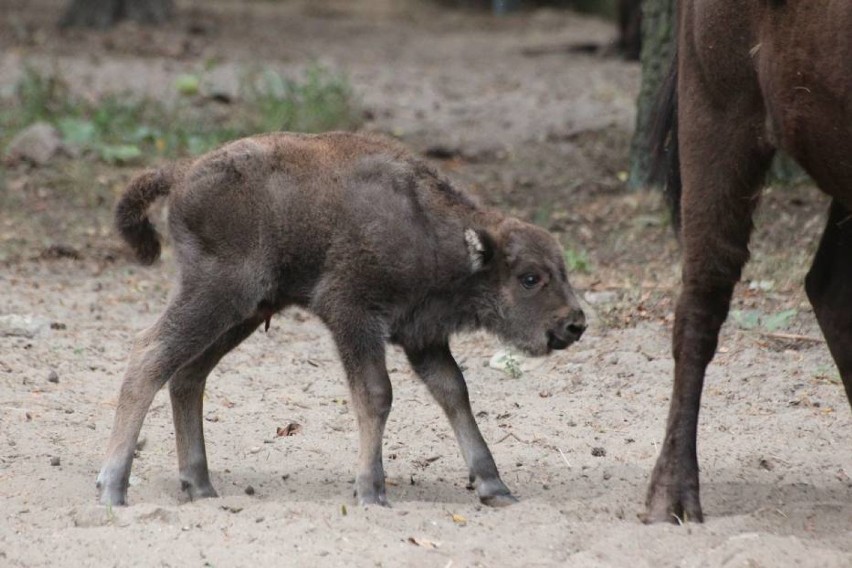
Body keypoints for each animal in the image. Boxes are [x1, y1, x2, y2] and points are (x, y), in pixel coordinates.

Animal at [95, 132, 584, 506]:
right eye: (529, 277)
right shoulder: (352, 314)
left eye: (563, 270)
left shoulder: (423, 338)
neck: (433, 231)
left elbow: (454, 393)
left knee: (188, 376)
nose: (575, 323)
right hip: (217, 296)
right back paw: (113, 488)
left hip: (243, 314)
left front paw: (495, 487)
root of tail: (182, 173)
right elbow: (376, 395)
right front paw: (371, 491)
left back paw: (199, 486)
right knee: (150, 355)